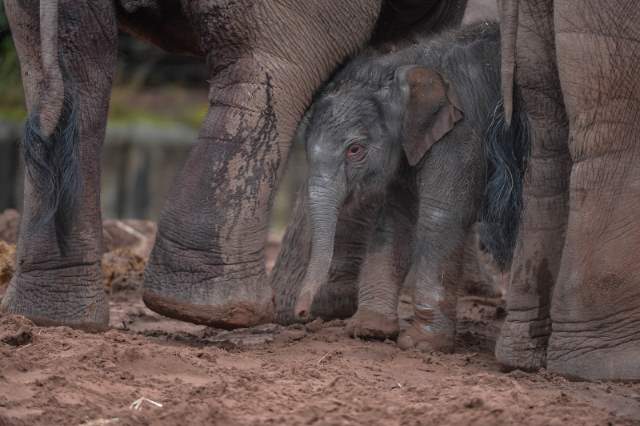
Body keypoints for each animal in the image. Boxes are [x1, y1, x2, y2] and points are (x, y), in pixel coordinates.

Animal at [292, 21, 528, 352]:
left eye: (355, 150)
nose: (301, 314)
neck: (404, 65)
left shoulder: (460, 134)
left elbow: (440, 217)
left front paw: (421, 344)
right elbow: (395, 219)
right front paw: (369, 330)